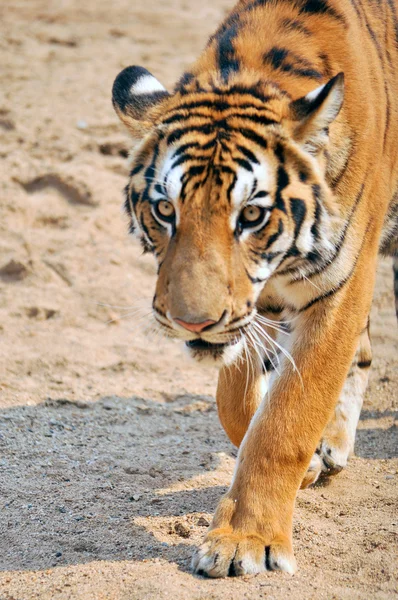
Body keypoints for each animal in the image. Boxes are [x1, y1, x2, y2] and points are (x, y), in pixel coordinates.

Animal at [111, 0, 398, 580]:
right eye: (165, 209)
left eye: (250, 215)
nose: (192, 321)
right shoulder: (252, 306)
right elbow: (237, 403)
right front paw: (302, 467)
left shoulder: (340, 285)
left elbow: (285, 419)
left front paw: (247, 540)